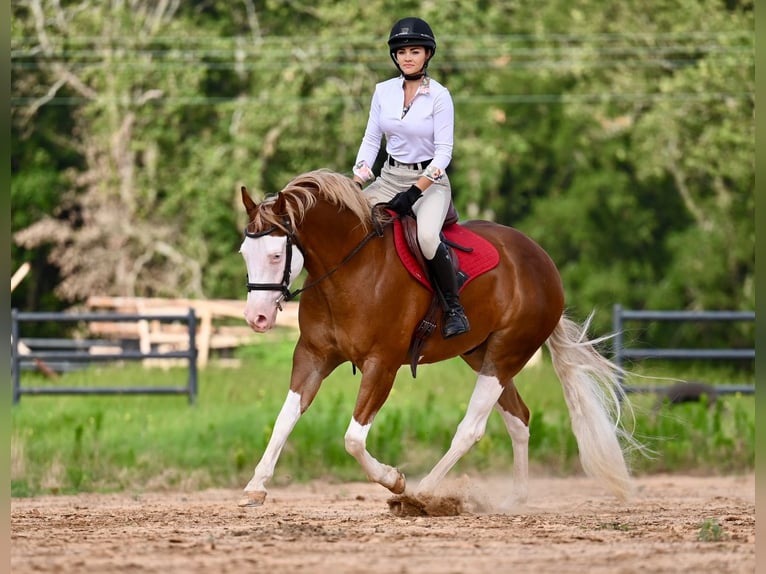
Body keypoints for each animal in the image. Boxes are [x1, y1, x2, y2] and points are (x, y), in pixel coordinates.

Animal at [240, 169, 640, 510]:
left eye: (276, 254)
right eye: (245, 252)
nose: (256, 318)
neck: (351, 270)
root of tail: (543, 264)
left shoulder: (382, 365)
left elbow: (353, 440)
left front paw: (395, 480)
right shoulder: (313, 356)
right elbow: (285, 418)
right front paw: (256, 487)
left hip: (506, 355)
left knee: (471, 429)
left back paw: (422, 493)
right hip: (481, 354)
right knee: (519, 418)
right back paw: (515, 499)